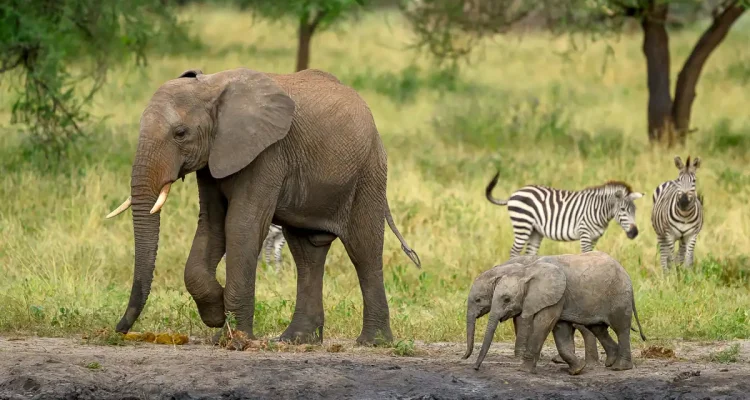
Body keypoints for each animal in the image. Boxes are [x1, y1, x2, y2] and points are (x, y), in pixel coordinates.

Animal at [485, 172, 644, 257]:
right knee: (514, 252)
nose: (635, 233)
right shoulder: (585, 234)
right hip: (522, 225)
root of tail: (514, 194)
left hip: (535, 231)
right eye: (622, 209)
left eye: (635, 211)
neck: (598, 210)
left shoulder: (595, 238)